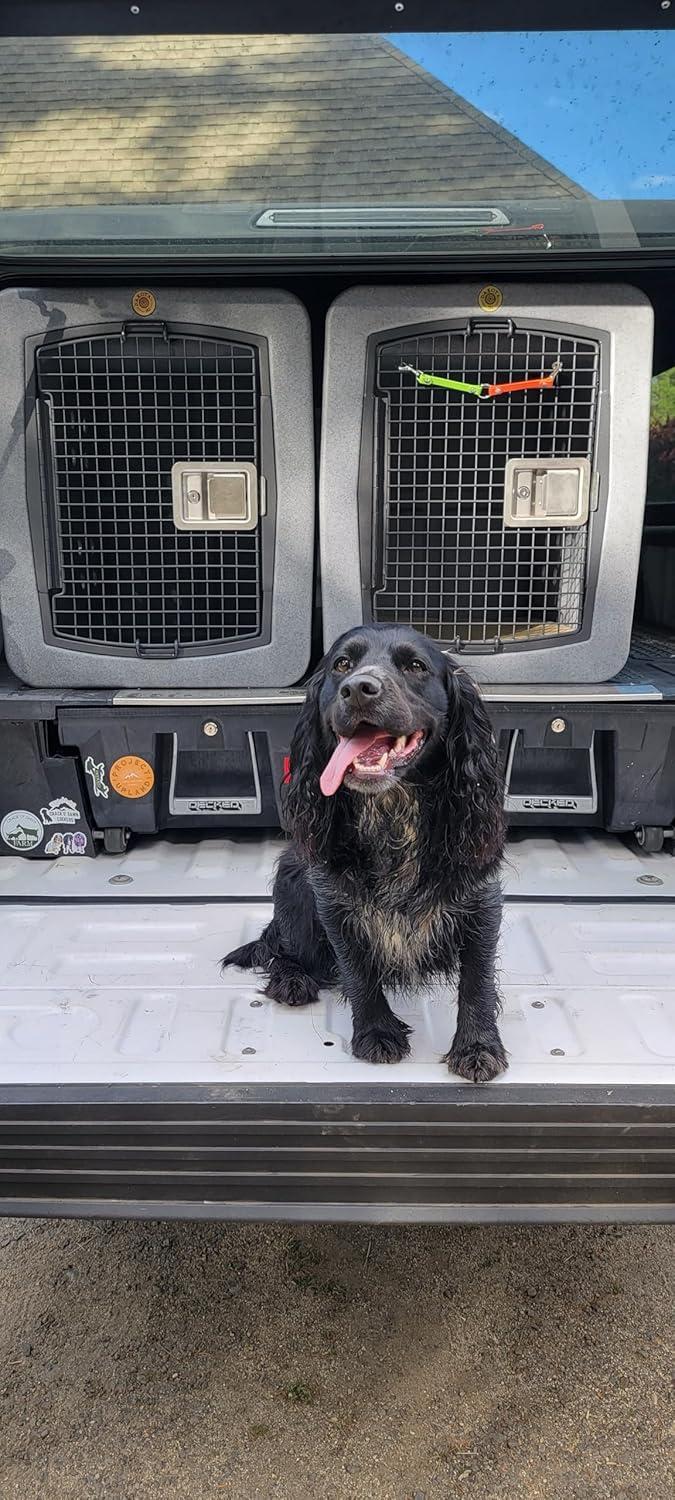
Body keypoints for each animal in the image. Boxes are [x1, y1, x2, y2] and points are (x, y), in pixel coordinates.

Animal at [223, 621, 510, 1080]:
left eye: (416, 666)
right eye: (342, 664)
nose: (358, 688)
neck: (392, 813)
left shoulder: (480, 900)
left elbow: (477, 979)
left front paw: (477, 1046)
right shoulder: (334, 902)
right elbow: (358, 970)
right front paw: (376, 1032)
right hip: (294, 884)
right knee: (281, 947)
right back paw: (291, 979)